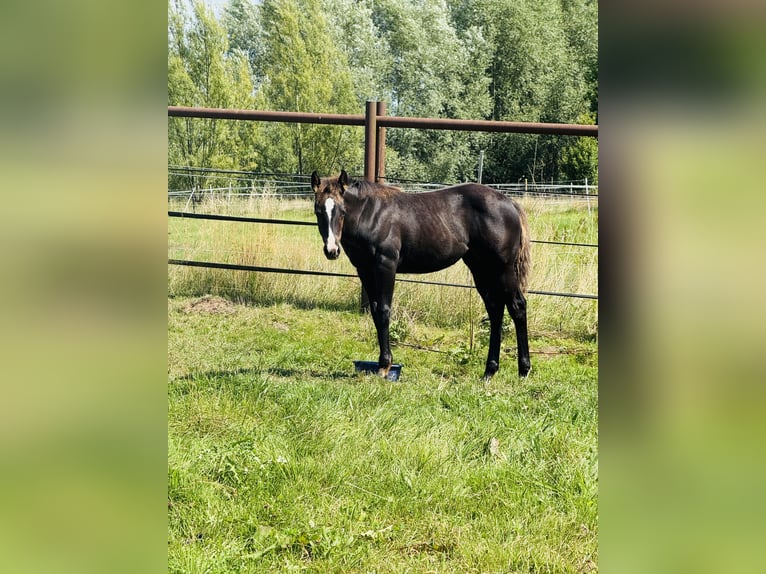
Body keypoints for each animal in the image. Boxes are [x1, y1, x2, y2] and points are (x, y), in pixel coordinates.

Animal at [311, 170, 531, 381]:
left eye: (342, 211)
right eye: (318, 211)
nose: (331, 250)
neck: (371, 214)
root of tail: (509, 202)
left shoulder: (385, 265)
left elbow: (383, 311)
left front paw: (384, 366)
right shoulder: (364, 270)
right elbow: (374, 311)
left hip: (503, 269)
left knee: (517, 306)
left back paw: (523, 370)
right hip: (481, 268)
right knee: (495, 310)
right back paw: (489, 371)